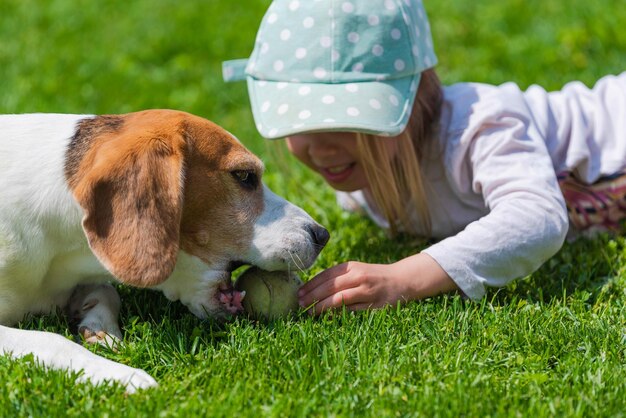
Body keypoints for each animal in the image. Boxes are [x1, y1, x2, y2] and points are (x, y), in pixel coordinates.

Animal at [0, 109, 330, 394]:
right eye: (244, 176)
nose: (322, 235)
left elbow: (108, 291)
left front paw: (100, 328)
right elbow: (53, 340)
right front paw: (122, 376)